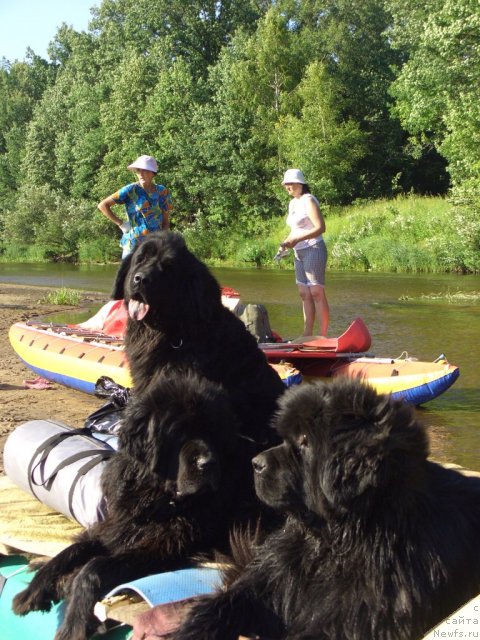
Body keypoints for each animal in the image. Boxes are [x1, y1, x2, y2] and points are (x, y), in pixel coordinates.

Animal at [12, 370, 266, 640]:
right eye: (178, 433)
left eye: (214, 432)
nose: (207, 464)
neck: (159, 496)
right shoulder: (119, 525)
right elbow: (70, 551)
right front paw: (32, 591)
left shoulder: (163, 546)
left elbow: (94, 567)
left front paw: (73, 624)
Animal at [176, 380, 480, 640]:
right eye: (285, 437)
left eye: (304, 441)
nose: (255, 463)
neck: (335, 539)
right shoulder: (270, 582)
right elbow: (227, 602)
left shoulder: (357, 617)